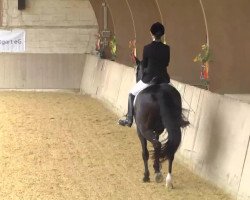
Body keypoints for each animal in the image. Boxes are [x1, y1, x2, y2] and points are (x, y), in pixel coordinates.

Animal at [134, 57, 188, 188]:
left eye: (137, 70)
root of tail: (160, 92)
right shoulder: (158, 130)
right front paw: (156, 167)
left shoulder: (140, 131)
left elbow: (145, 152)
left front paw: (147, 175)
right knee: (170, 149)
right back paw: (169, 181)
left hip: (144, 129)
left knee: (157, 144)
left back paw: (155, 175)